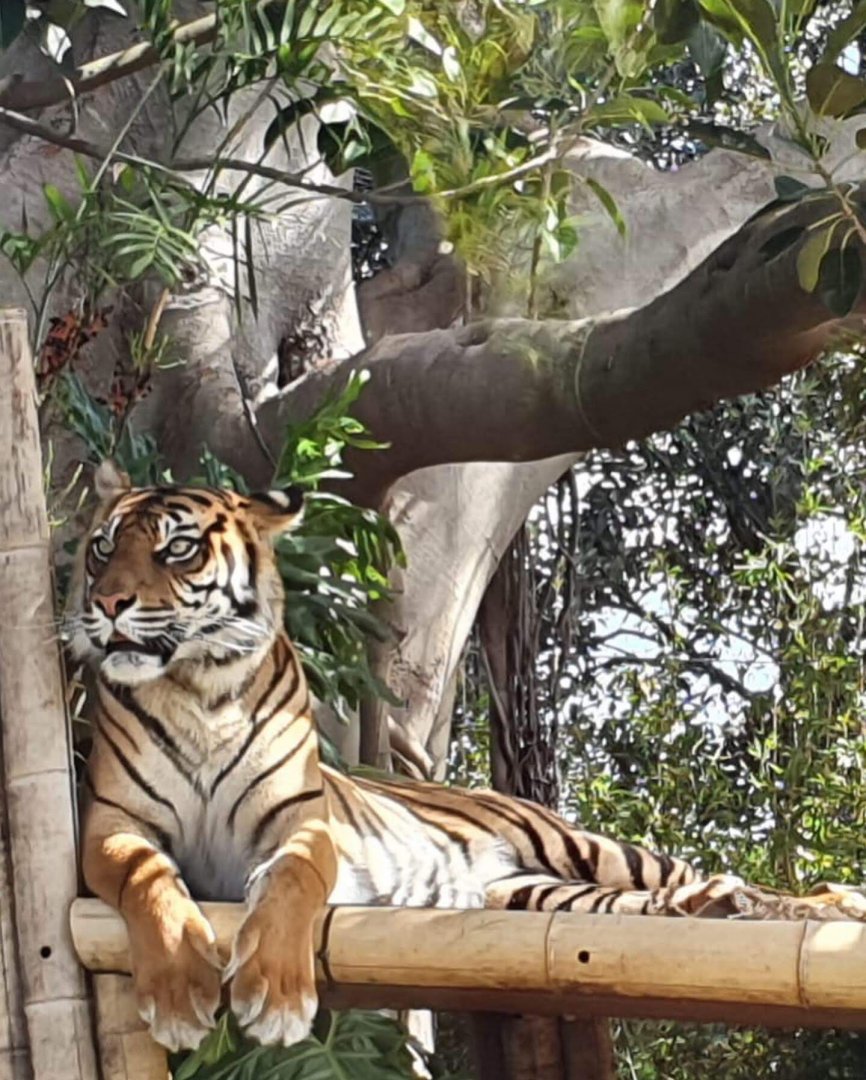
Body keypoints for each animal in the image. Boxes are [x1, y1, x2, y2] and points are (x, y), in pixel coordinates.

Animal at [67, 461, 866, 1053]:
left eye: (177, 548)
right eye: (103, 547)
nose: (106, 603)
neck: (199, 688)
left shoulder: (300, 823)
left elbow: (292, 881)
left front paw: (274, 994)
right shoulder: (112, 826)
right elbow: (151, 886)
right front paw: (179, 998)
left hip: (587, 848)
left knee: (731, 884)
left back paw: (823, 902)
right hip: (533, 892)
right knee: (666, 901)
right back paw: (714, 906)